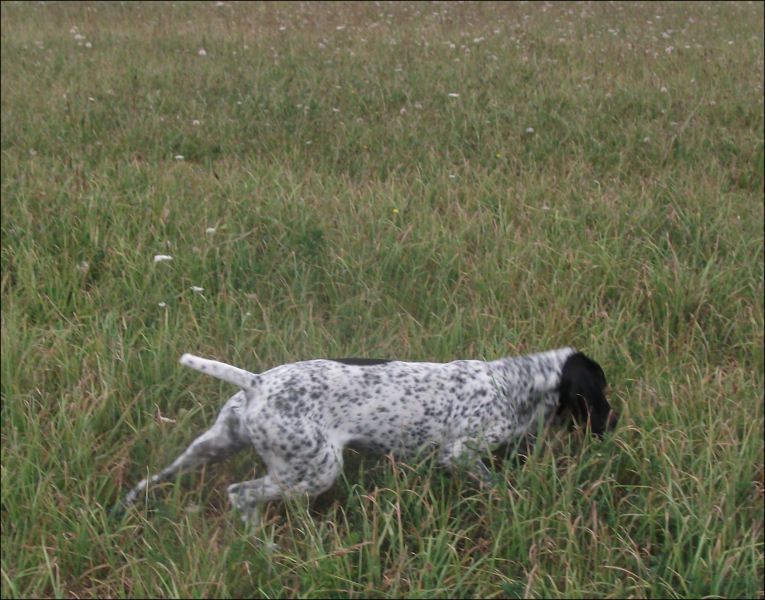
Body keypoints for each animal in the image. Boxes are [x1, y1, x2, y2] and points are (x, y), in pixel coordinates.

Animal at [121, 350, 620, 524]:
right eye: (601, 390)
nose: (615, 423)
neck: (513, 381)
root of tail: (256, 382)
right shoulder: (458, 454)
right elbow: (493, 483)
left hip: (208, 447)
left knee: (152, 480)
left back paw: (124, 506)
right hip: (315, 471)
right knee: (240, 494)